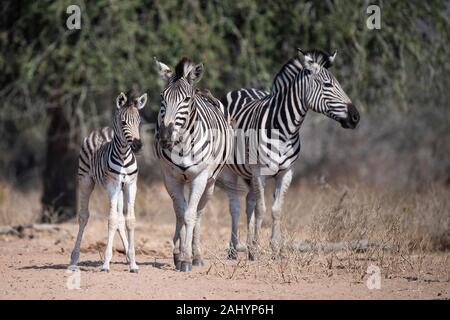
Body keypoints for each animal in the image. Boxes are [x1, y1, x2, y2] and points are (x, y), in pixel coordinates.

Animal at [69, 90, 148, 272]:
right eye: (123, 122)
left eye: (139, 121)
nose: (138, 145)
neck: (124, 154)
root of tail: (102, 130)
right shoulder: (112, 185)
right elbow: (111, 221)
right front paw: (105, 264)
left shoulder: (131, 185)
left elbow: (129, 220)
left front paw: (133, 263)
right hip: (86, 180)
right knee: (84, 216)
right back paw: (74, 260)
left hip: (119, 189)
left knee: (120, 218)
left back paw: (127, 256)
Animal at [154, 56, 232, 272]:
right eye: (162, 97)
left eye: (186, 100)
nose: (165, 138)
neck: (182, 145)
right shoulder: (170, 178)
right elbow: (181, 214)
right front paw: (179, 255)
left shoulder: (200, 177)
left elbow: (190, 215)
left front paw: (187, 259)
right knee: (180, 210)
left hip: (210, 183)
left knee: (198, 213)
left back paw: (197, 255)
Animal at [220, 49, 360, 260]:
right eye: (328, 85)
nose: (355, 117)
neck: (284, 130)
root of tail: (241, 90)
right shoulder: (260, 172)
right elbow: (261, 209)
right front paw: (258, 249)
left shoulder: (286, 172)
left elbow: (276, 210)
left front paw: (274, 250)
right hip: (231, 170)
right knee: (234, 207)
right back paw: (233, 249)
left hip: (248, 173)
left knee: (249, 202)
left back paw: (248, 248)